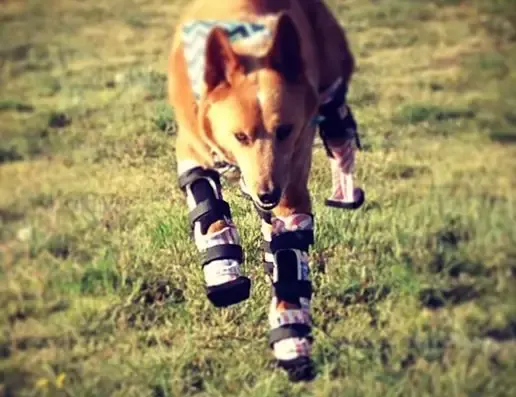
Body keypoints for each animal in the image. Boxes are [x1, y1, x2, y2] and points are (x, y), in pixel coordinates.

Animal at [167, 0, 360, 378]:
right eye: (240, 136)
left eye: (285, 130)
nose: (267, 195)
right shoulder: (190, 149)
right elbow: (208, 204)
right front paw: (222, 269)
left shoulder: (291, 187)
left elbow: (288, 254)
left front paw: (291, 333)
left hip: (331, 73)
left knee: (337, 118)